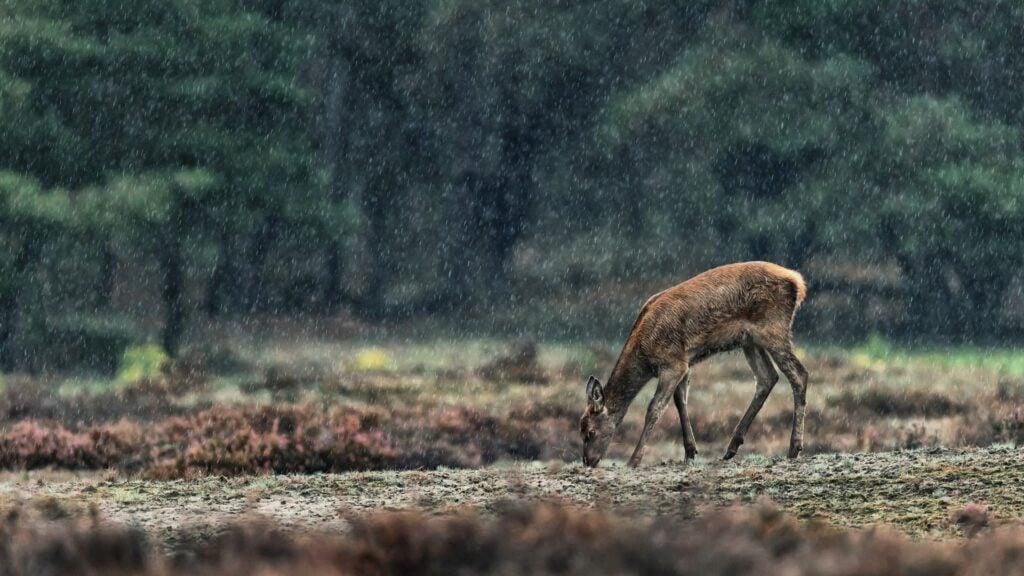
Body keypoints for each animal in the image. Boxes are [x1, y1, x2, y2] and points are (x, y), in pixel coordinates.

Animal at [579, 261, 809, 468]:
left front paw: (634, 461)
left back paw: (794, 448)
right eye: (581, 431)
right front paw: (690, 452)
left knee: (799, 374)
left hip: (772, 328)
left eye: (590, 432)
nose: (588, 462)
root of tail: (798, 282)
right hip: (749, 340)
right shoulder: (684, 362)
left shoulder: (672, 363)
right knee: (767, 377)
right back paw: (731, 448)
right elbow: (681, 401)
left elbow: (655, 408)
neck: (644, 356)